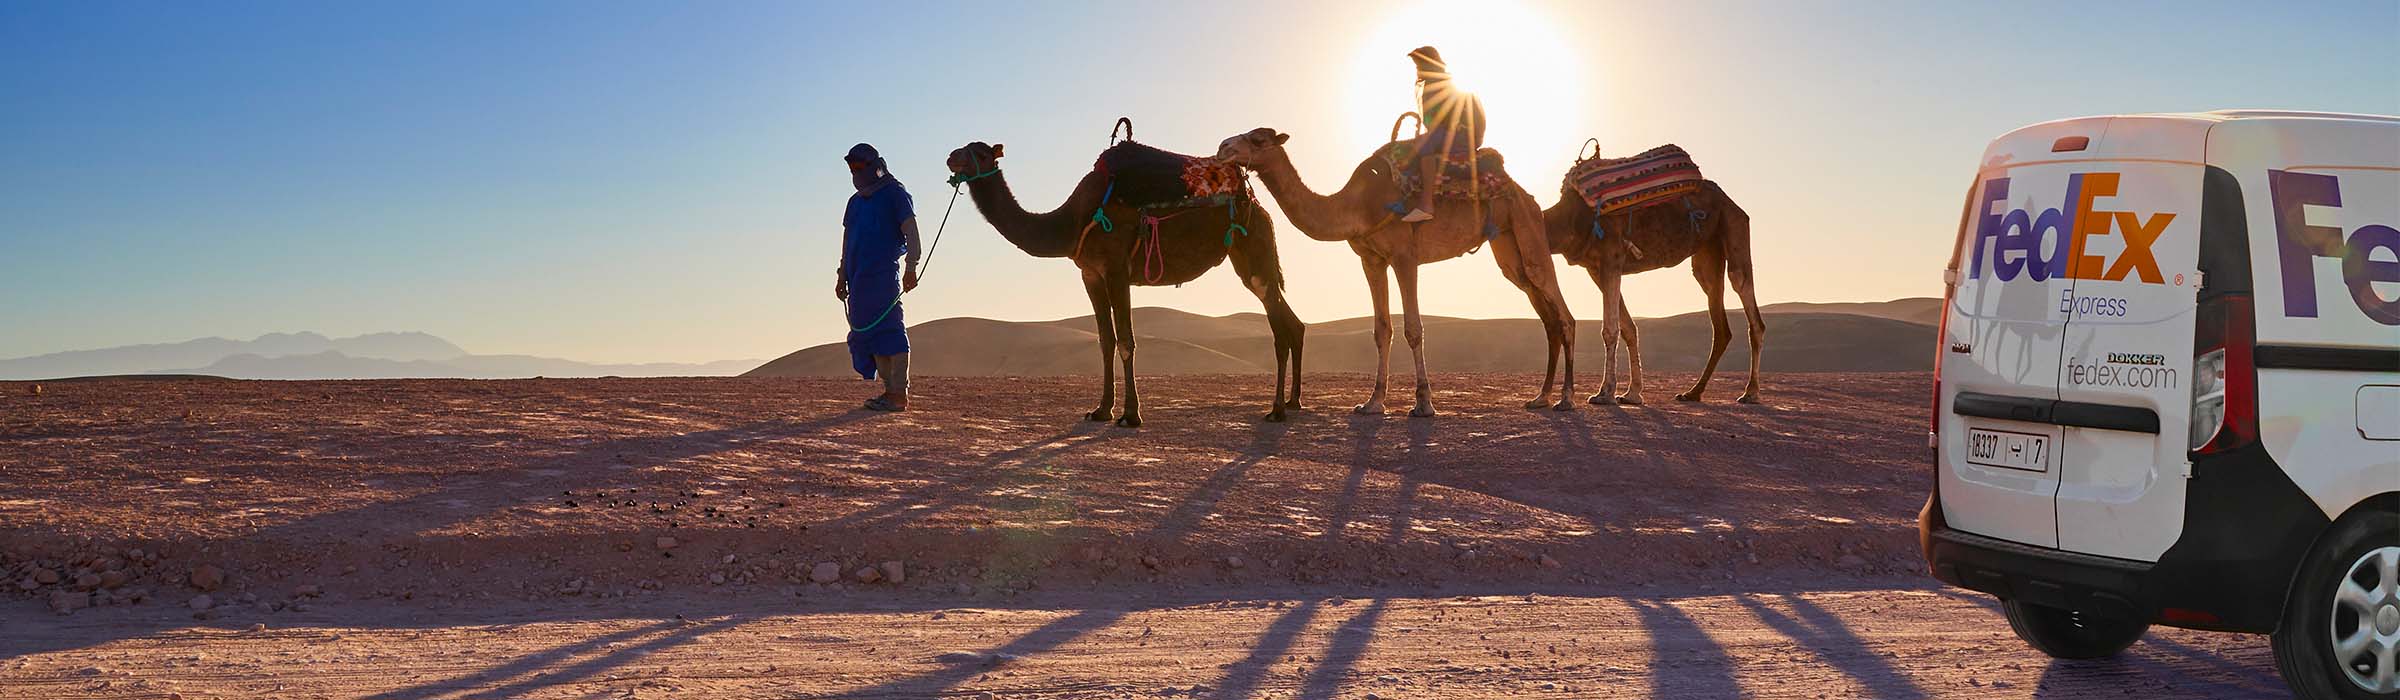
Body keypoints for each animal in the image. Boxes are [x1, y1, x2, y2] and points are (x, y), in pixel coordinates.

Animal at [940, 139, 1315, 424]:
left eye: (981, 153)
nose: (951, 156)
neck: (1072, 220)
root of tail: (1258, 205)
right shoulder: (1090, 274)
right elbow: (1105, 341)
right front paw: (1101, 409)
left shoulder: (1117, 268)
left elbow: (1126, 340)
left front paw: (1131, 415)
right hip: (1249, 256)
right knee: (1293, 322)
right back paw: (1294, 401)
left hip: (1254, 247)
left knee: (1279, 328)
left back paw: (1277, 410)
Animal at [1219, 125, 1574, 414]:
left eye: (1258, 139)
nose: (1223, 147)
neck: (1356, 205)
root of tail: (1525, 193)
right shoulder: (1371, 259)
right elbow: (1382, 330)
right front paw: (1373, 402)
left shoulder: (1404, 256)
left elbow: (1413, 329)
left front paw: (1424, 403)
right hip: (1507, 246)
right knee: (1544, 312)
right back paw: (1541, 397)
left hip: (1527, 227)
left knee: (1561, 311)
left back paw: (1566, 398)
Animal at [1536, 169, 1766, 405]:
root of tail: (1731, 202)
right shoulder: (1596, 269)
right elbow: (1628, 328)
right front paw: (1633, 393)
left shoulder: (1612, 257)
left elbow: (1610, 329)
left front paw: (1605, 393)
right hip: (1708, 251)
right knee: (1719, 320)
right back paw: (1693, 392)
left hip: (1734, 226)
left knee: (1743, 291)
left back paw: (1750, 392)